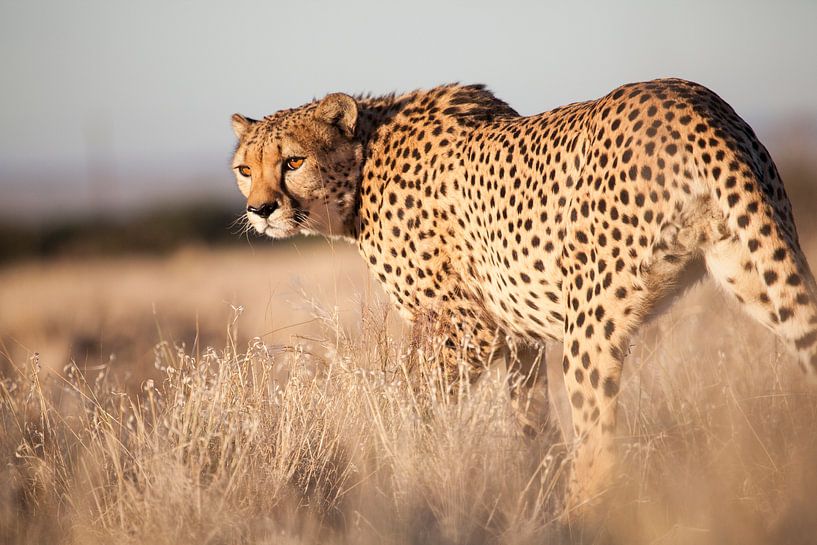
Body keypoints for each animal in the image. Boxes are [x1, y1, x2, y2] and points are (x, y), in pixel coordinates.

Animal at [230, 77, 816, 516]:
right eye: (244, 169)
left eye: (293, 162)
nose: (260, 210)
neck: (365, 161)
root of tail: (692, 103)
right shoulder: (517, 334)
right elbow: (531, 418)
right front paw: (533, 480)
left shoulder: (463, 328)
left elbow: (417, 405)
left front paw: (403, 465)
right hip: (757, 272)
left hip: (591, 325)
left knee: (600, 448)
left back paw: (573, 519)